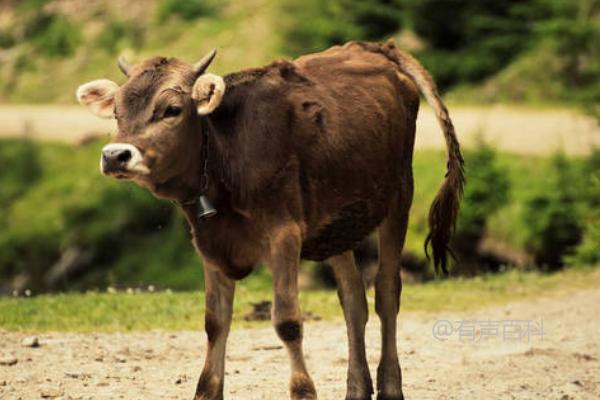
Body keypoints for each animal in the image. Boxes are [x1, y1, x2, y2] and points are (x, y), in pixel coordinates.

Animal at [76, 39, 464, 400]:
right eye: (116, 112)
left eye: (171, 109)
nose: (115, 155)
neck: (228, 154)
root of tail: (373, 47)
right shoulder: (209, 241)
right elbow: (215, 322)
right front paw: (207, 390)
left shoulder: (284, 233)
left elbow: (287, 321)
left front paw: (303, 390)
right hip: (339, 223)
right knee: (354, 300)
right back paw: (356, 387)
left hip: (399, 198)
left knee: (386, 292)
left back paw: (390, 385)